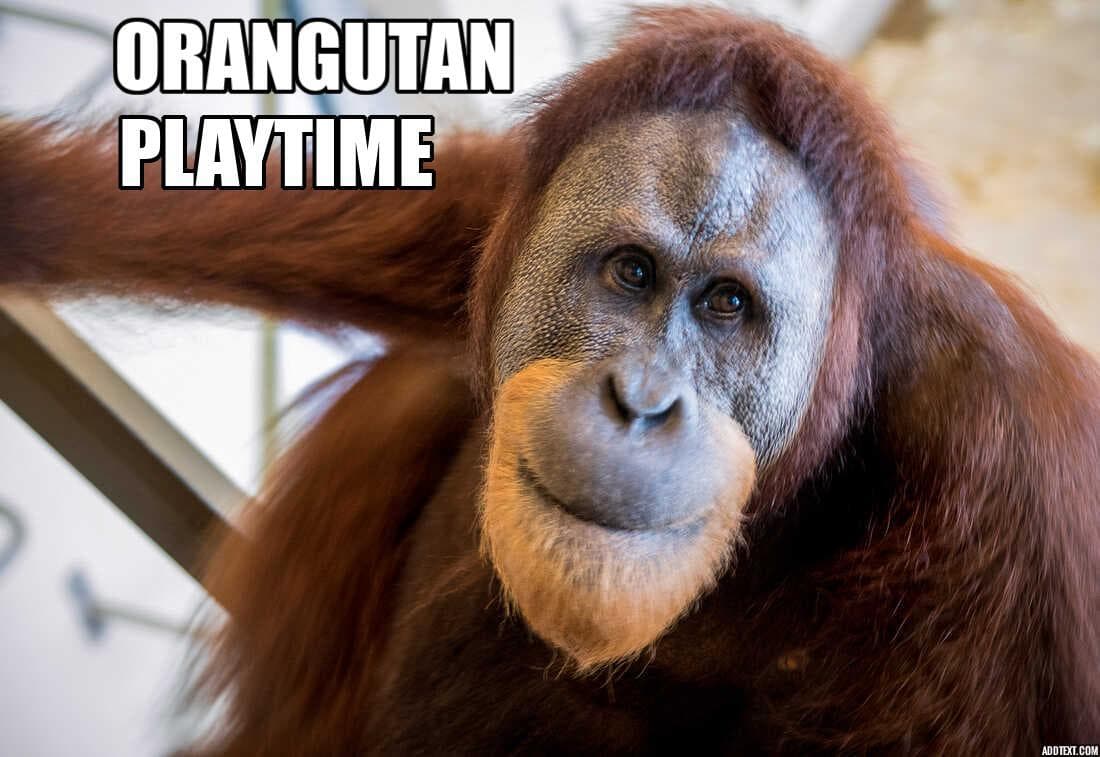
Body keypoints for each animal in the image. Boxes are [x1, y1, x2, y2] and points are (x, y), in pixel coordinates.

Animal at [1, 7, 1097, 754]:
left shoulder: (1012, 471)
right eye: (632, 274)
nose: (639, 402)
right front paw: (26, 204)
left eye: (726, 306)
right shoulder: (504, 209)